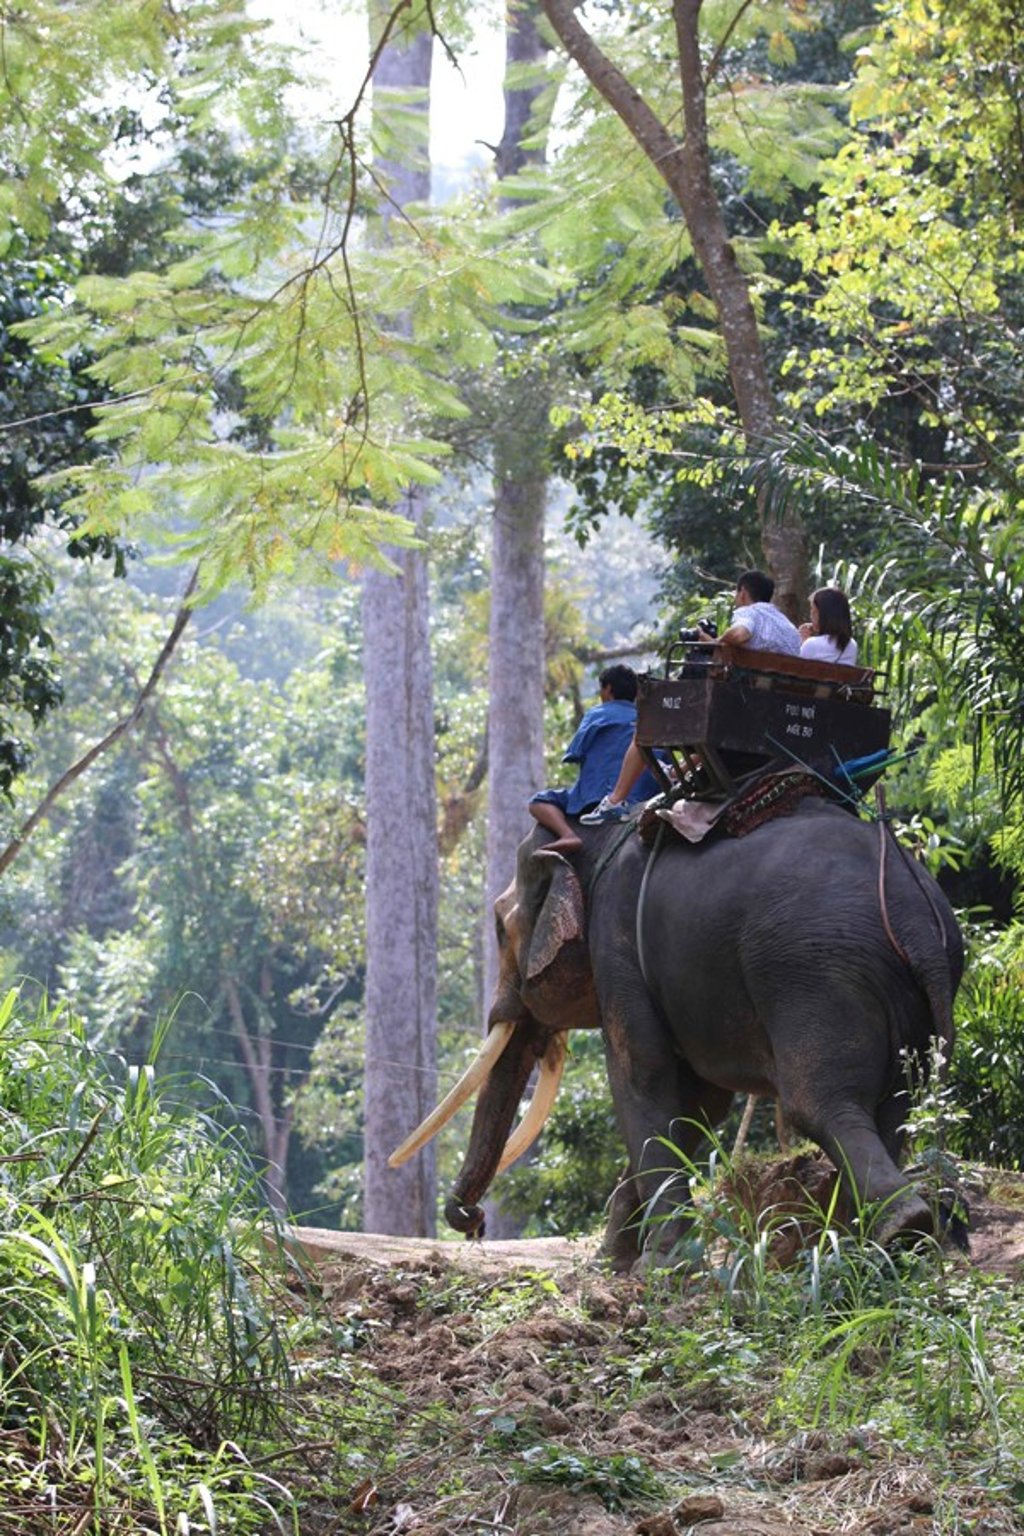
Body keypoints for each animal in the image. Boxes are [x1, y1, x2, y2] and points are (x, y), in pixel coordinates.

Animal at [391, 798, 964, 1269]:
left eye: (497, 927)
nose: (472, 1221)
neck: (596, 835)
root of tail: (916, 913)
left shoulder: (616, 937)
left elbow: (642, 1075)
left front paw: (659, 1267)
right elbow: (696, 1105)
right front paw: (612, 1263)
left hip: (816, 974)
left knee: (820, 1103)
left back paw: (896, 1231)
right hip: (897, 995)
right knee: (894, 1109)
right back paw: (859, 1246)